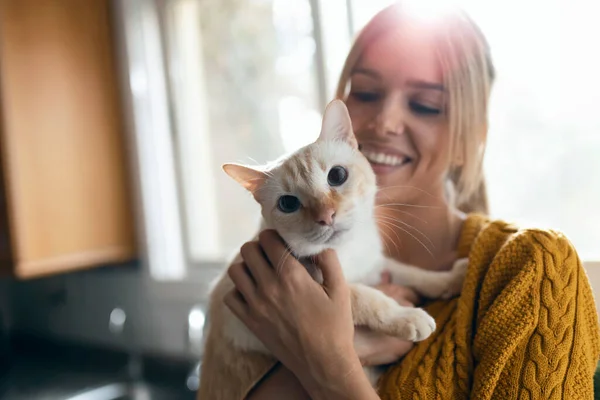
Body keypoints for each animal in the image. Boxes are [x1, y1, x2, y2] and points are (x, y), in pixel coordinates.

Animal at [199, 100, 466, 400]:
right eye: (288, 204)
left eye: (337, 176)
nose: (326, 216)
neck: (349, 252)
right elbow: (368, 298)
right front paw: (407, 317)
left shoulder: (376, 265)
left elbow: (414, 273)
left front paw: (451, 279)